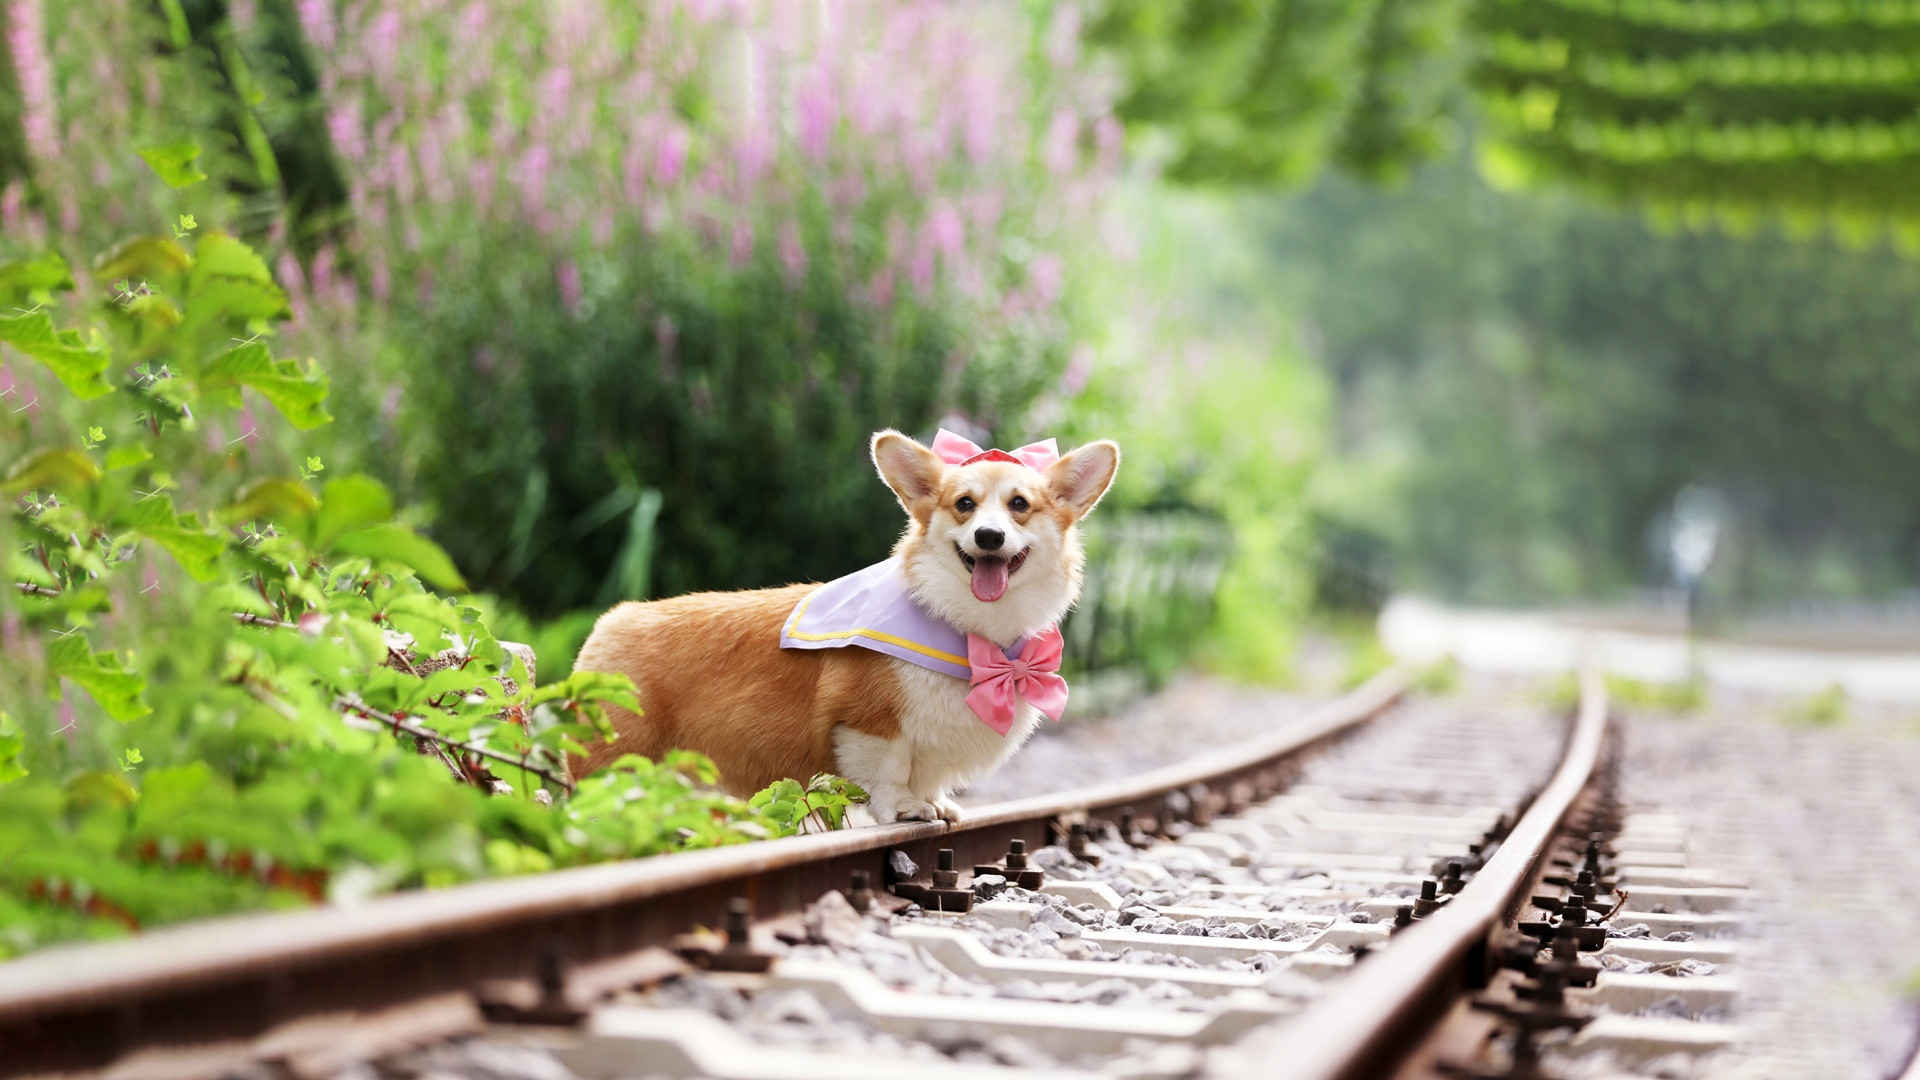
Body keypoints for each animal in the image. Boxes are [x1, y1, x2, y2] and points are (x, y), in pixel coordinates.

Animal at [568, 424, 1121, 818]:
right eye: (964, 505)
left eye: (1019, 505)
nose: (988, 537)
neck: (967, 631)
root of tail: (610, 622)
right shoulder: (868, 722)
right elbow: (889, 772)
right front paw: (906, 809)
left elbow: (928, 776)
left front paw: (936, 804)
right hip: (611, 760)